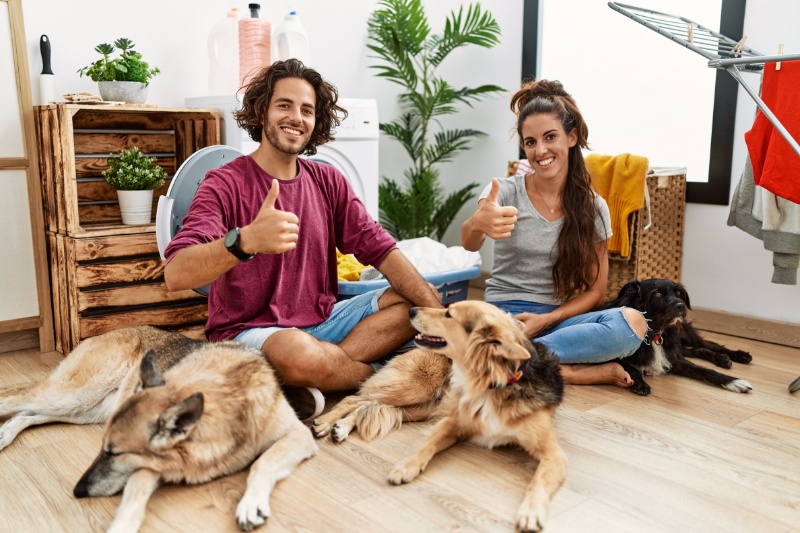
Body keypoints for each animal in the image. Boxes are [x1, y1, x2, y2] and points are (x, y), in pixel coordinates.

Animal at [0, 326, 318, 528]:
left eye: (113, 453)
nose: (77, 491)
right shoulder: (147, 467)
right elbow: (134, 497)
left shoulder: (298, 435)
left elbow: (263, 463)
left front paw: (251, 503)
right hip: (75, 395)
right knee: (12, 401)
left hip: (84, 409)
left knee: (27, 414)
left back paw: (5, 433)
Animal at [314, 302, 568, 528]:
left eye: (449, 314)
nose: (411, 310)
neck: (492, 382)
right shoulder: (452, 423)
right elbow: (426, 446)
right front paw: (405, 468)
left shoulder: (553, 454)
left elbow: (539, 480)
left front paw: (531, 512)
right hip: (413, 388)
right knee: (354, 399)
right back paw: (325, 422)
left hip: (420, 407)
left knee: (366, 405)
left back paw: (341, 428)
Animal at [608, 278, 752, 394]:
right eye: (658, 294)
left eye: (678, 293)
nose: (681, 306)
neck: (656, 333)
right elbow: (631, 368)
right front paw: (640, 383)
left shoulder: (673, 358)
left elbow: (705, 371)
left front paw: (734, 381)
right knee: (695, 350)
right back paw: (722, 358)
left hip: (684, 333)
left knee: (708, 345)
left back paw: (736, 356)